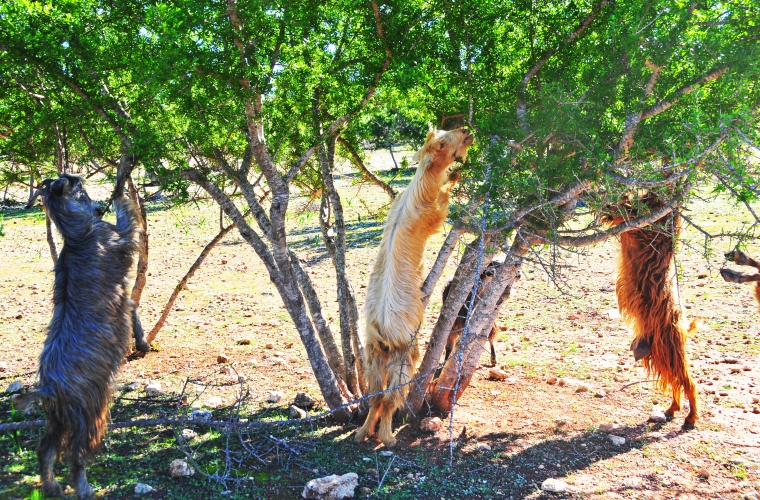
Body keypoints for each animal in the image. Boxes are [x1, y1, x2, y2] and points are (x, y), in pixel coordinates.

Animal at [15, 174, 144, 498]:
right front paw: (121, 186)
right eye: (74, 185)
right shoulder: (118, 238)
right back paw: (83, 487)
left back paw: (52, 487)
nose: (77, 177)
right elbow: (126, 217)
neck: (77, 236)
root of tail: (48, 389)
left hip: (57, 419)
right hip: (88, 411)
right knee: (76, 454)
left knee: (45, 449)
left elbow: (132, 306)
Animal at [354, 127, 472, 448]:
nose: (467, 131)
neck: (417, 189)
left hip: (375, 358)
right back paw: (388, 437)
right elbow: (445, 197)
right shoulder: (435, 213)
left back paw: (363, 432)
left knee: (375, 396)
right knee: (390, 398)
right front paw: (457, 174)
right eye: (443, 141)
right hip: (404, 355)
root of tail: (380, 331)